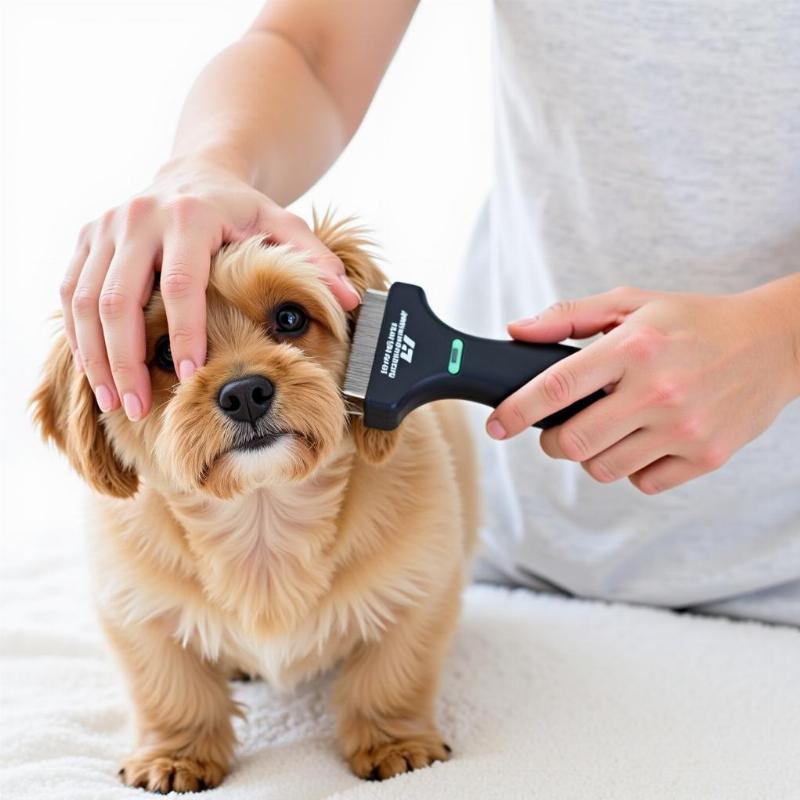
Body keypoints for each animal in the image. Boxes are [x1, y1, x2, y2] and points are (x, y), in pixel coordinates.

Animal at [31, 216, 478, 792]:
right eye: (166, 353)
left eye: (289, 317)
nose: (245, 393)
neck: (263, 519)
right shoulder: (134, 611)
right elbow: (171, 689)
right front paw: (175, 756)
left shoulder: (421, 588)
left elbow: (391, 675)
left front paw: (396, 743)